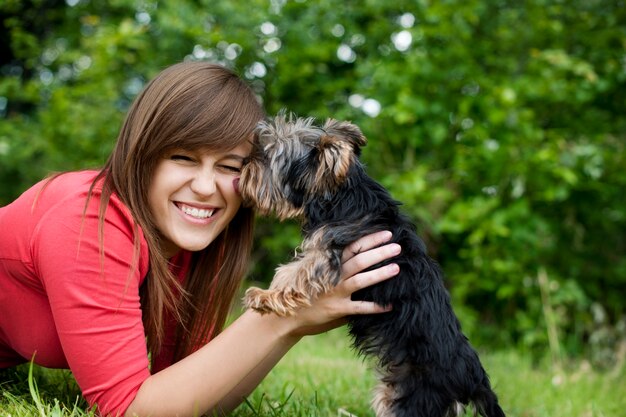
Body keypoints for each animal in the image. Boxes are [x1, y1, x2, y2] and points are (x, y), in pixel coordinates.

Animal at [236, 114, 504, 416]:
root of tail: (473, 378)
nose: (244, 166)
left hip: (413, 395)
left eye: (267, 155)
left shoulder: (329, 251)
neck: (341, 194)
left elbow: (295, 272)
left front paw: (263, 296)